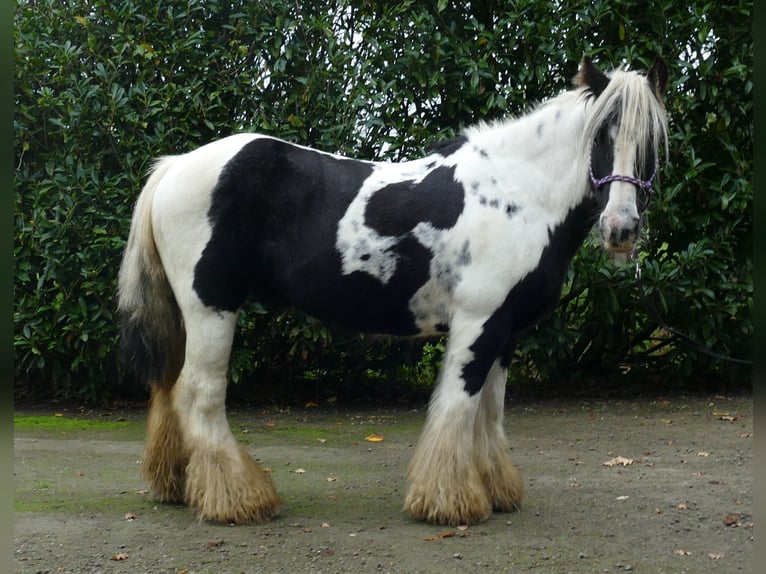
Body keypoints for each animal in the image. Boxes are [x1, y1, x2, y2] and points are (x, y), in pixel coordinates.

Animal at [117, 56, 668, 526]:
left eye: (651, 143)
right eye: (600, 135)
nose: (621, 228)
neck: (516, 193)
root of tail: (174, 167)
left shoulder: (505, 331)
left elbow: (489, 413)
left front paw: (495, 490)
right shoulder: (478, 323)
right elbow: (458, 407)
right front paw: (450, 501)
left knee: (169, 388)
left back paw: (178, 484)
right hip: (212, 307)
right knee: (200, 393)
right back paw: (239, 500)